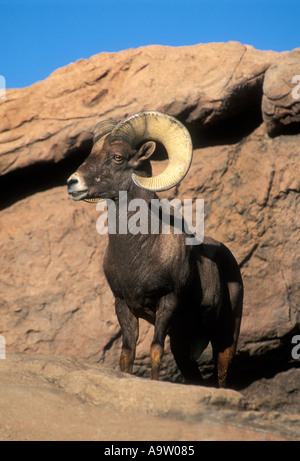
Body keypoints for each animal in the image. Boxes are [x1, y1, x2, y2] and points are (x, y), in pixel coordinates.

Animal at [67, 110, 243, 384]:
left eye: (117, 157)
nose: (72, 183)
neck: (137, 251)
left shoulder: (168, 302)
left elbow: (155, 351)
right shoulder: (123, 305)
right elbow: (127, 355)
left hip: (226, 335)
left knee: (223, 376)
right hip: (182, 342)